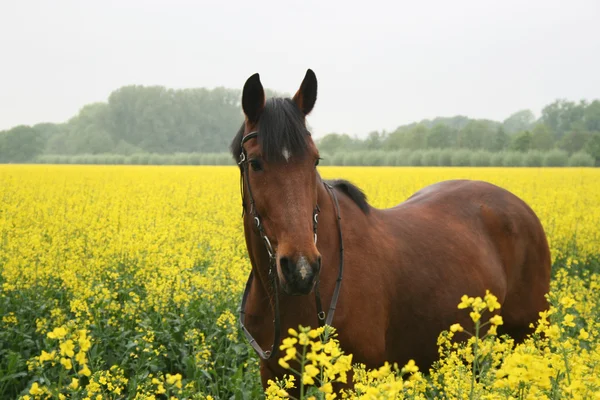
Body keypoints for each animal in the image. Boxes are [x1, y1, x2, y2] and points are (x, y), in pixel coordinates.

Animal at [231, 69, 552, 390]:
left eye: (315, 159)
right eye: (256, 163)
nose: (302, 270)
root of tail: (520, 206)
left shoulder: (349, 378)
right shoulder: (274, 377)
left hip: (531, 336)